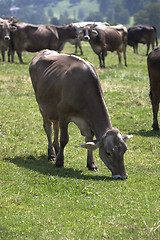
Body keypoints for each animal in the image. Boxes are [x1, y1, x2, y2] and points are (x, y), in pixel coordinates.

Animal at [29, 49, 132, 179]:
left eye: (124, 150)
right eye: (108, 153)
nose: (123, 176)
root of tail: (44, 51)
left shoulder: (87, 122)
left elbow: (89, 140)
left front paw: (92, 164)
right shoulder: (64, 115)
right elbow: (64, 139)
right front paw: (59, 162)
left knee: (55, 126)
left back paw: (56, 149)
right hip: (43, 107)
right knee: (48, 128)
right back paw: (52, 154)